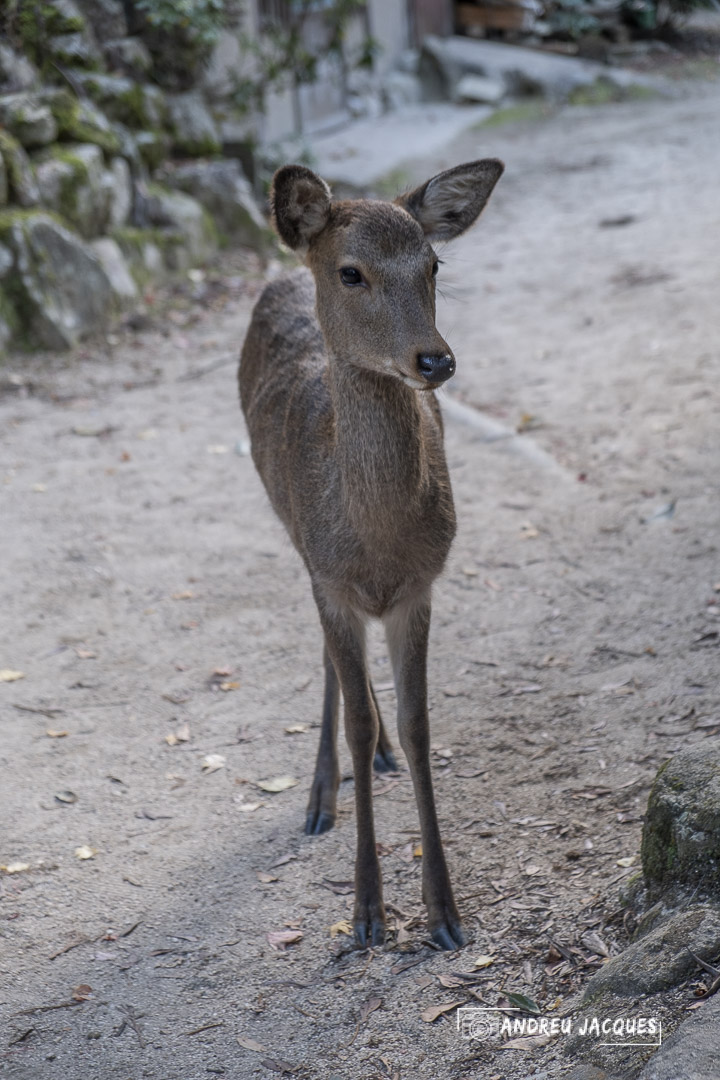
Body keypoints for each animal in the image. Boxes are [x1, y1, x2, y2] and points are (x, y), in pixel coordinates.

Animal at [239, 156, 505, 950]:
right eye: (352, 272)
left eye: (434, 263)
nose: (435, 359)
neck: (377, 544)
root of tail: (284, 266)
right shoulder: (330, 577)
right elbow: (355, 719)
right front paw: (365, 914)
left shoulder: (421, 585)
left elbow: (420, 726)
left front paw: (445, 913)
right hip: (290, 531)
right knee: (331, 663)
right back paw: (321, 795)